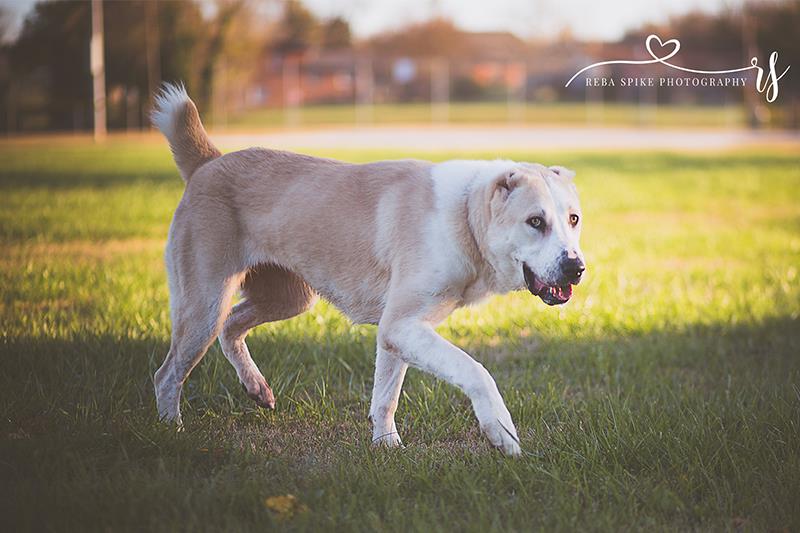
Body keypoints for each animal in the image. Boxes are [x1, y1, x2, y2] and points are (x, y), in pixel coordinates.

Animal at [152, 83, 588, 454]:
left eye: (573, 220)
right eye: (535, 221)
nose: (576, 268)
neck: (464, 216)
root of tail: (209, 163)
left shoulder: (396, 332)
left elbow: (385, 397)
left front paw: (386, 446)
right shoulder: (401, 325)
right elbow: (475, 370)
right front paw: (501, 431)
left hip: (288, 298)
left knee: (231, 327)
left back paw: (256, 387)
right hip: (204, 304)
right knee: (168, 374)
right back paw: (173, 431)